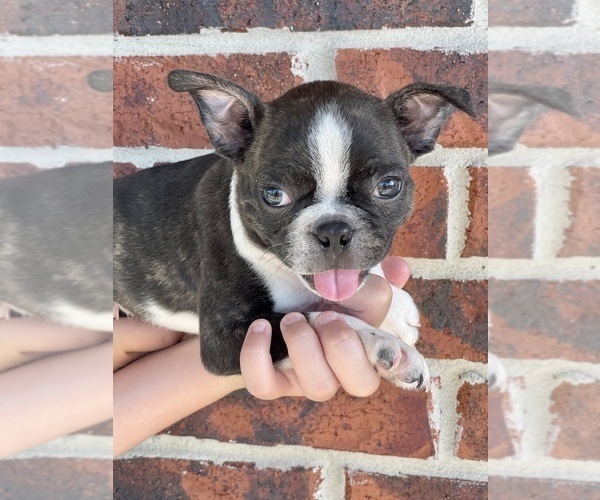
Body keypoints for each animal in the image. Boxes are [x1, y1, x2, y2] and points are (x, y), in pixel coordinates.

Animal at [113, 71, 474, 390]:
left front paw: (396, 309)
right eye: (274, 195)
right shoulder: (225, 337)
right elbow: (312, 321)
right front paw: (387, 347)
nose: (333, 230)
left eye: (388, 187)